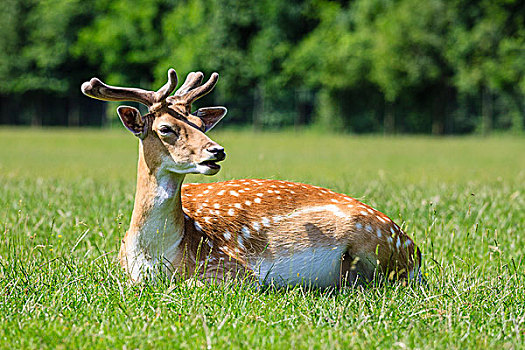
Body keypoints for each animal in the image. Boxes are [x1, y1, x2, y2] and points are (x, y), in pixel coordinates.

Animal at [80, 68, 420, 288]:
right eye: (166, 128)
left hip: (374, 244)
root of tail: (416, 252)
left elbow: (193, 285)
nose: (216, 151)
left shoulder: (232, 267)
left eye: (199, 124)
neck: (156, 254)